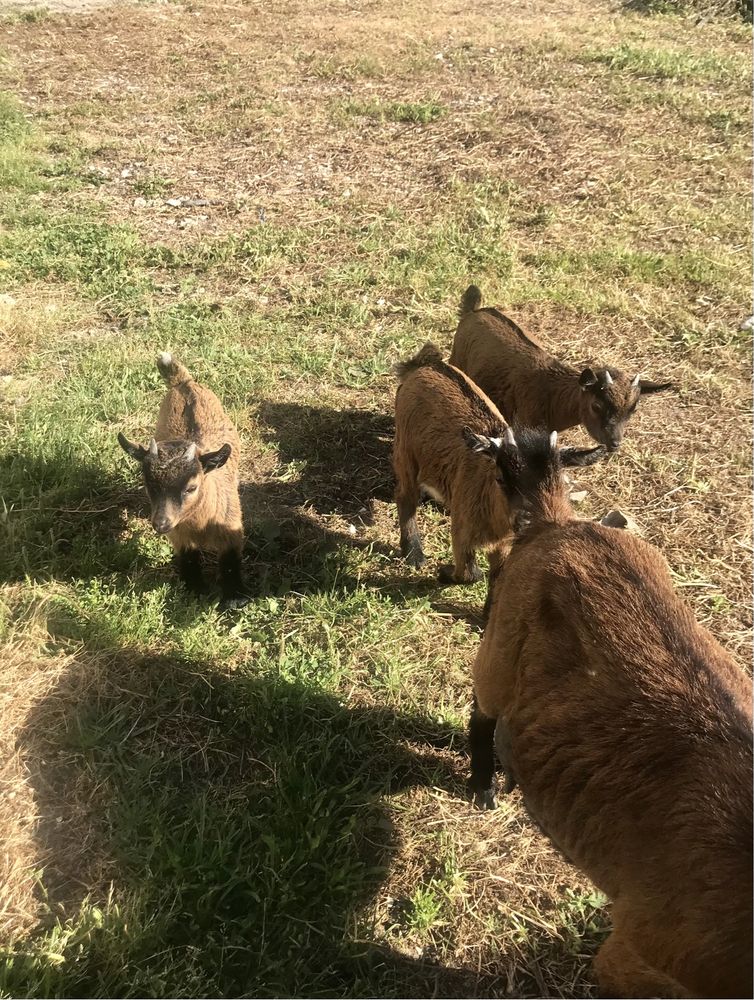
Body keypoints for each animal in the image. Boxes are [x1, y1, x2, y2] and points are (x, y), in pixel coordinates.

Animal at [117, 352, 247, 608]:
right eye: (148, 485)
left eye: (191, 488)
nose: (160, 524)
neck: (199, 525)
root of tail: (184, 383)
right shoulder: (179, 536)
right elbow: (188, 559)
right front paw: (194, 590)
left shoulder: (231, 529)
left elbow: (230, 562)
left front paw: (234, 597)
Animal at [390, 344, 604, 592]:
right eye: (500, 478)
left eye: (557, 482)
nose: (526, 520)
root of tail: (427, 364)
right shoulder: (462, 531)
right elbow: (470, 574)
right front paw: (444, 573)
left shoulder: (504, 547)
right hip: (405, 448)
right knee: (405, 495)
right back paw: (414, 553)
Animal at [446, 284, 668, 452]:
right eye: (596, 406)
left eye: (633, 409)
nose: (614, 443)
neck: (553, 395)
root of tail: (474, 311)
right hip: (457, 358)